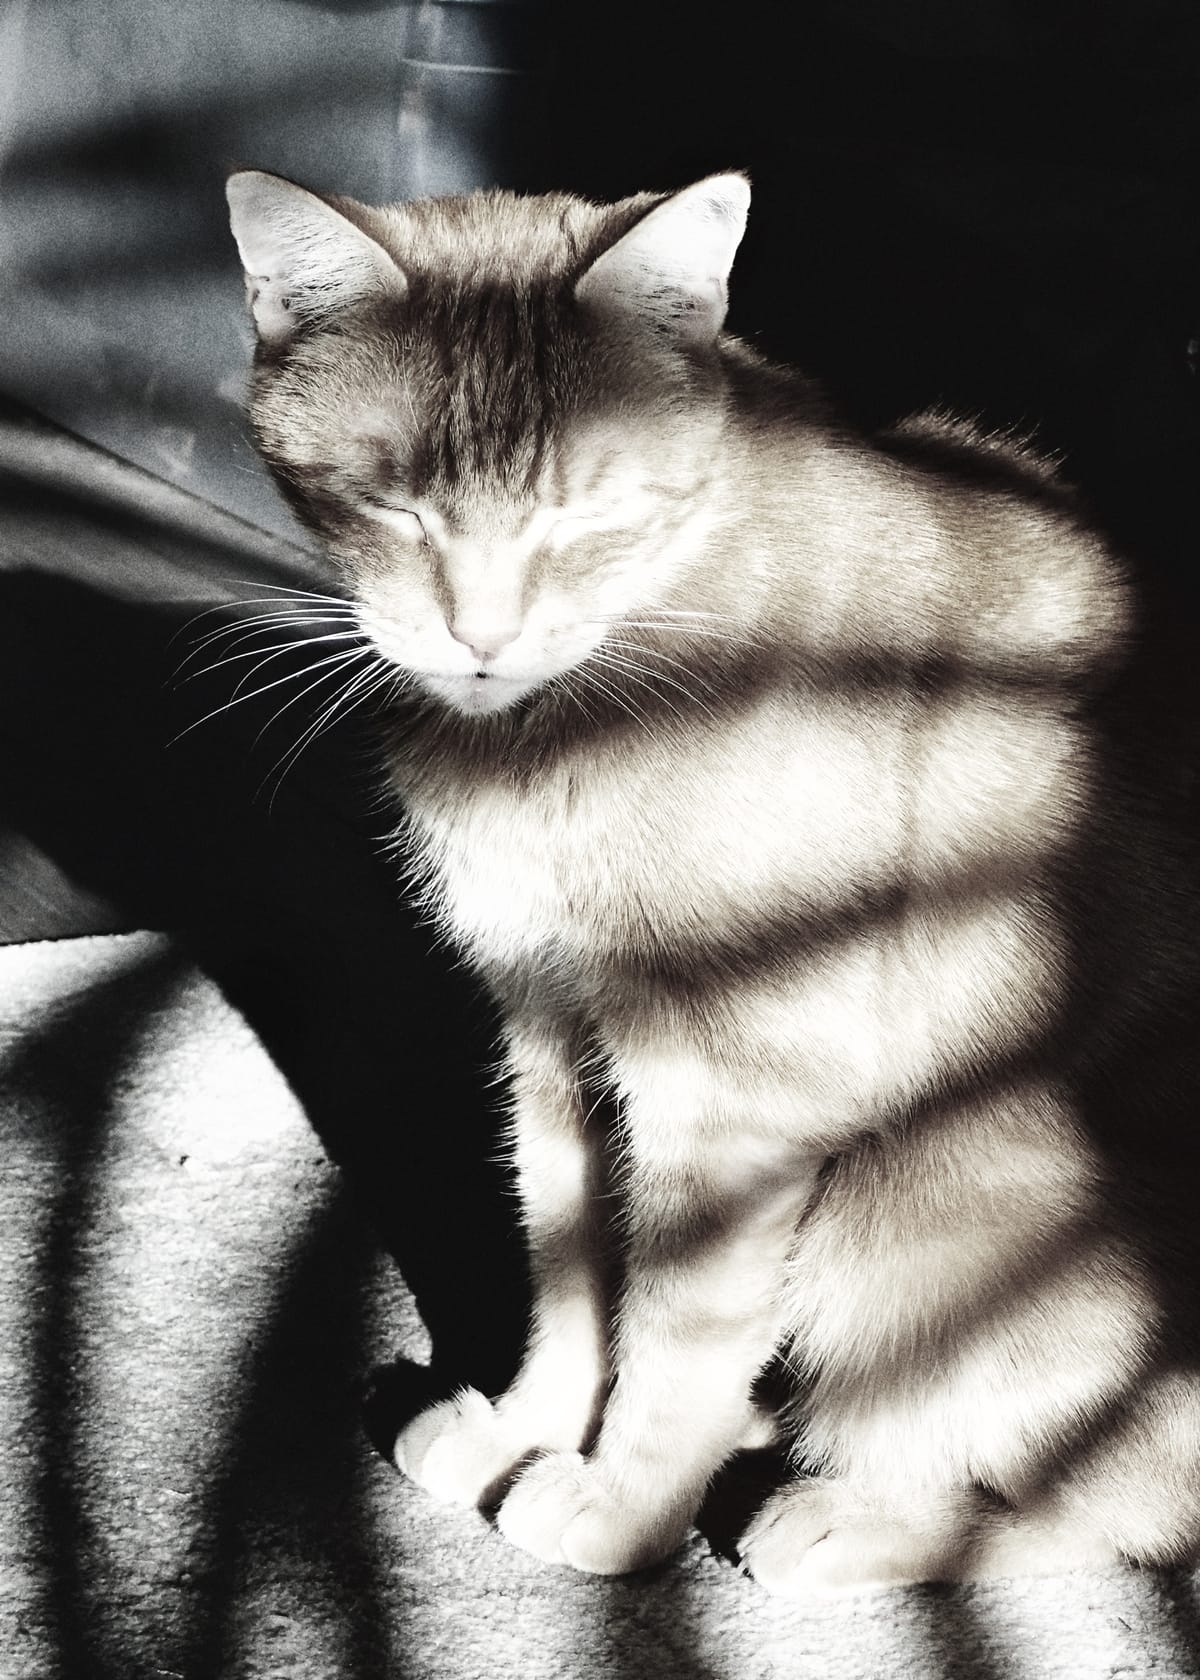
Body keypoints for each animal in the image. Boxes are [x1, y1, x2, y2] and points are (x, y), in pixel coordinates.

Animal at [225, 167, 1196, 1585]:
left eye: (584, 511)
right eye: (391, 501)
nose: (480, 635)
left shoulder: (733, 1095)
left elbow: (680, 1333)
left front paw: (621, 1505)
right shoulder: (554, 1041)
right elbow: (575, 1276)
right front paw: (530, 1427)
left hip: (908, 1208)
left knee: (1112, 1501)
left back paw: (835, 1514)